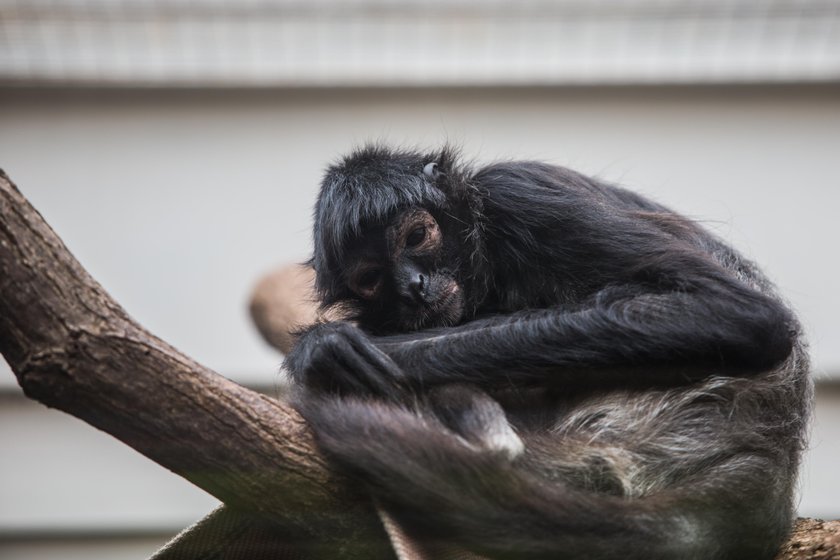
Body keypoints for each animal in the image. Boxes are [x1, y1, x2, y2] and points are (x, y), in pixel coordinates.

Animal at [286, 145, 812, 560]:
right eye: (372, 278)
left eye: (416, 237)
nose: (413, 286)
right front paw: (328, 347)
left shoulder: (517, 193)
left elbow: (742, 315)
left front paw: (327, 350)